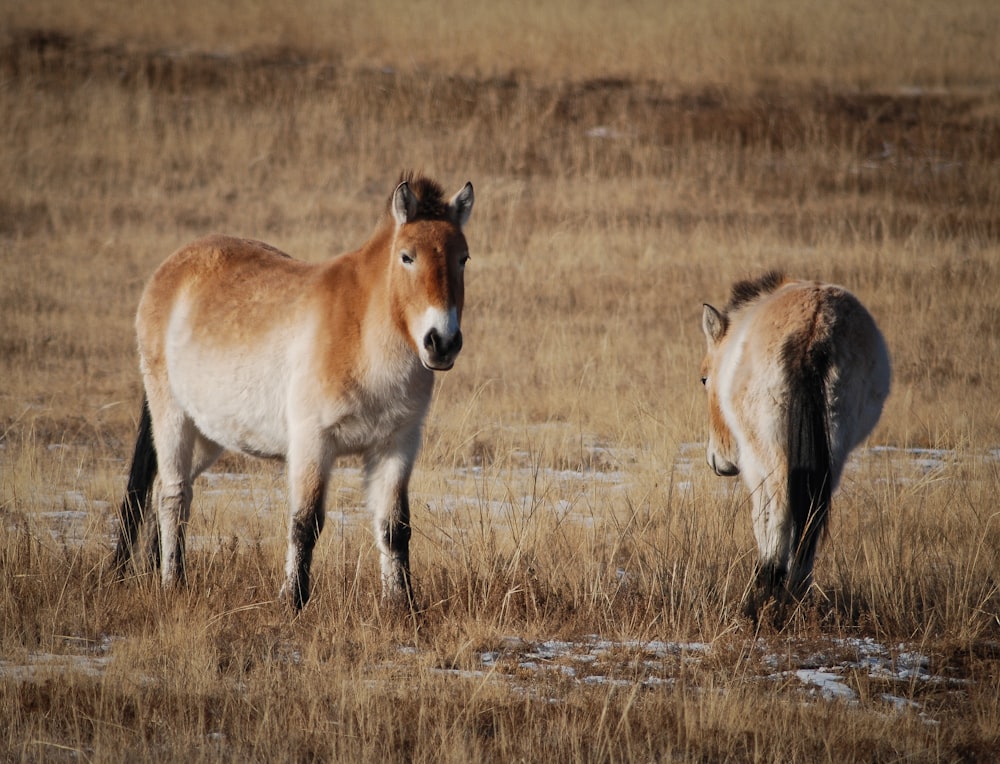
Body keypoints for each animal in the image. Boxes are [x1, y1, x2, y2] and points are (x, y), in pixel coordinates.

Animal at [111, 170, 474, 612]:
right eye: (407, 256)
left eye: (463, 258)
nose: (442, 342)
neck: (362, 332)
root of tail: (169, 269)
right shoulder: (312, 442)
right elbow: (306, 522)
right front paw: (293, 602)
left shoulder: (397, 445)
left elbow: (394, 527)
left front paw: (402, 605)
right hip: (171, 415)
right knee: (172, 496)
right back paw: (172, 583)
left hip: (207, 433)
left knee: (162, 491)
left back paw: (153, 573)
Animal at [700, 272, 896, 616]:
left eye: (704, 379)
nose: (718, 462)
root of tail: (814, 328)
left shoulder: (754, 464)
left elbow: (761, 518)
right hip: (834, 449)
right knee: (813, 516)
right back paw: (797, 591)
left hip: (771, 452)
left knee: (780, 511)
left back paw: (768, 592)